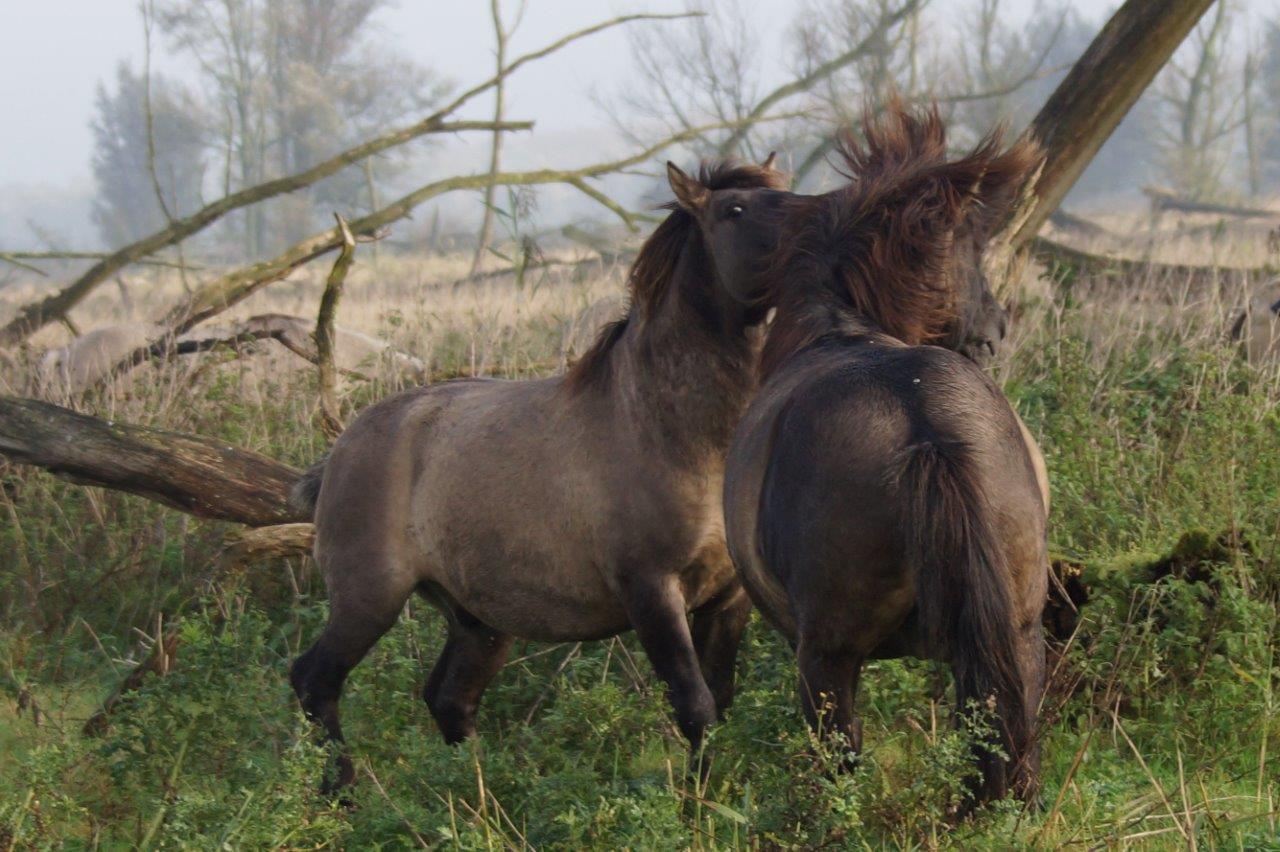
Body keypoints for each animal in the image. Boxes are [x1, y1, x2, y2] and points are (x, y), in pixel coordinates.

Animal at [287, 154, 793, 788]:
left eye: (788, 191)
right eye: (735, 209)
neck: (677, 432)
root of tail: (341, 450)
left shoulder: (727, 598)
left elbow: (719, 702)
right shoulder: (652, 592)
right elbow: (694, 705)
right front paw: (696, 803)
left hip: (477, 621)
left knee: (448, 699)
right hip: (368, 598)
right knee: (315, 682)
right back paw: (344, 794)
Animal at [717, 106, 1048, 805]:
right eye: (971, 244)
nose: (997, 328)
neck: (838, 328)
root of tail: (925, 423)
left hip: (827, 660)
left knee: (840, 767)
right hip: (1019, 640)